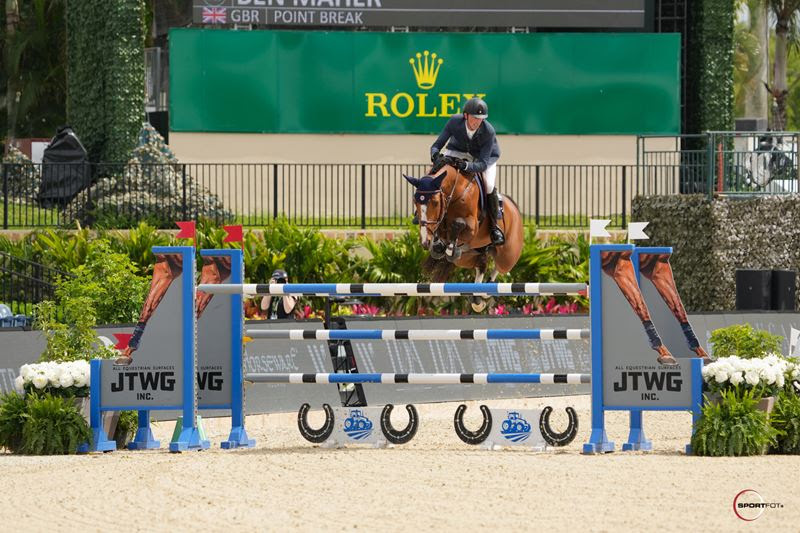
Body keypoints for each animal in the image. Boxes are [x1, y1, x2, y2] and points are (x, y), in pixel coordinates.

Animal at [400, 157, 524, 312]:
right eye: (415, 201)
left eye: (435, 202)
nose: (425, 242)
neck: (457, 191)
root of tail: (514, 208)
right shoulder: (439, 223)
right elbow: (440, 229)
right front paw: (438, 247)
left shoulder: (472, 227)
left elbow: (457, 224)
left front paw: (449, 249)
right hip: (467, 258)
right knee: (481, 265)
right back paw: (478, 298)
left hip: (507, 255)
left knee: (499, 267)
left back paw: (486, 291)